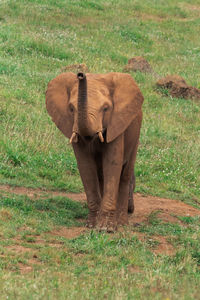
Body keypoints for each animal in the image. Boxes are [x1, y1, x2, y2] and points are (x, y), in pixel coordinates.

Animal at [45, 72, 143, 232]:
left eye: (105, 108)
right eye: (71, 108)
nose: (80, 74)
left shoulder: (117, 123)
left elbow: (112, 164)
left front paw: (105, 229)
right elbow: (85, 166)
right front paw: (91, 225)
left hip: (136, 133)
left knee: (125, 174)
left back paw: (121, 224)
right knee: (101, 175)